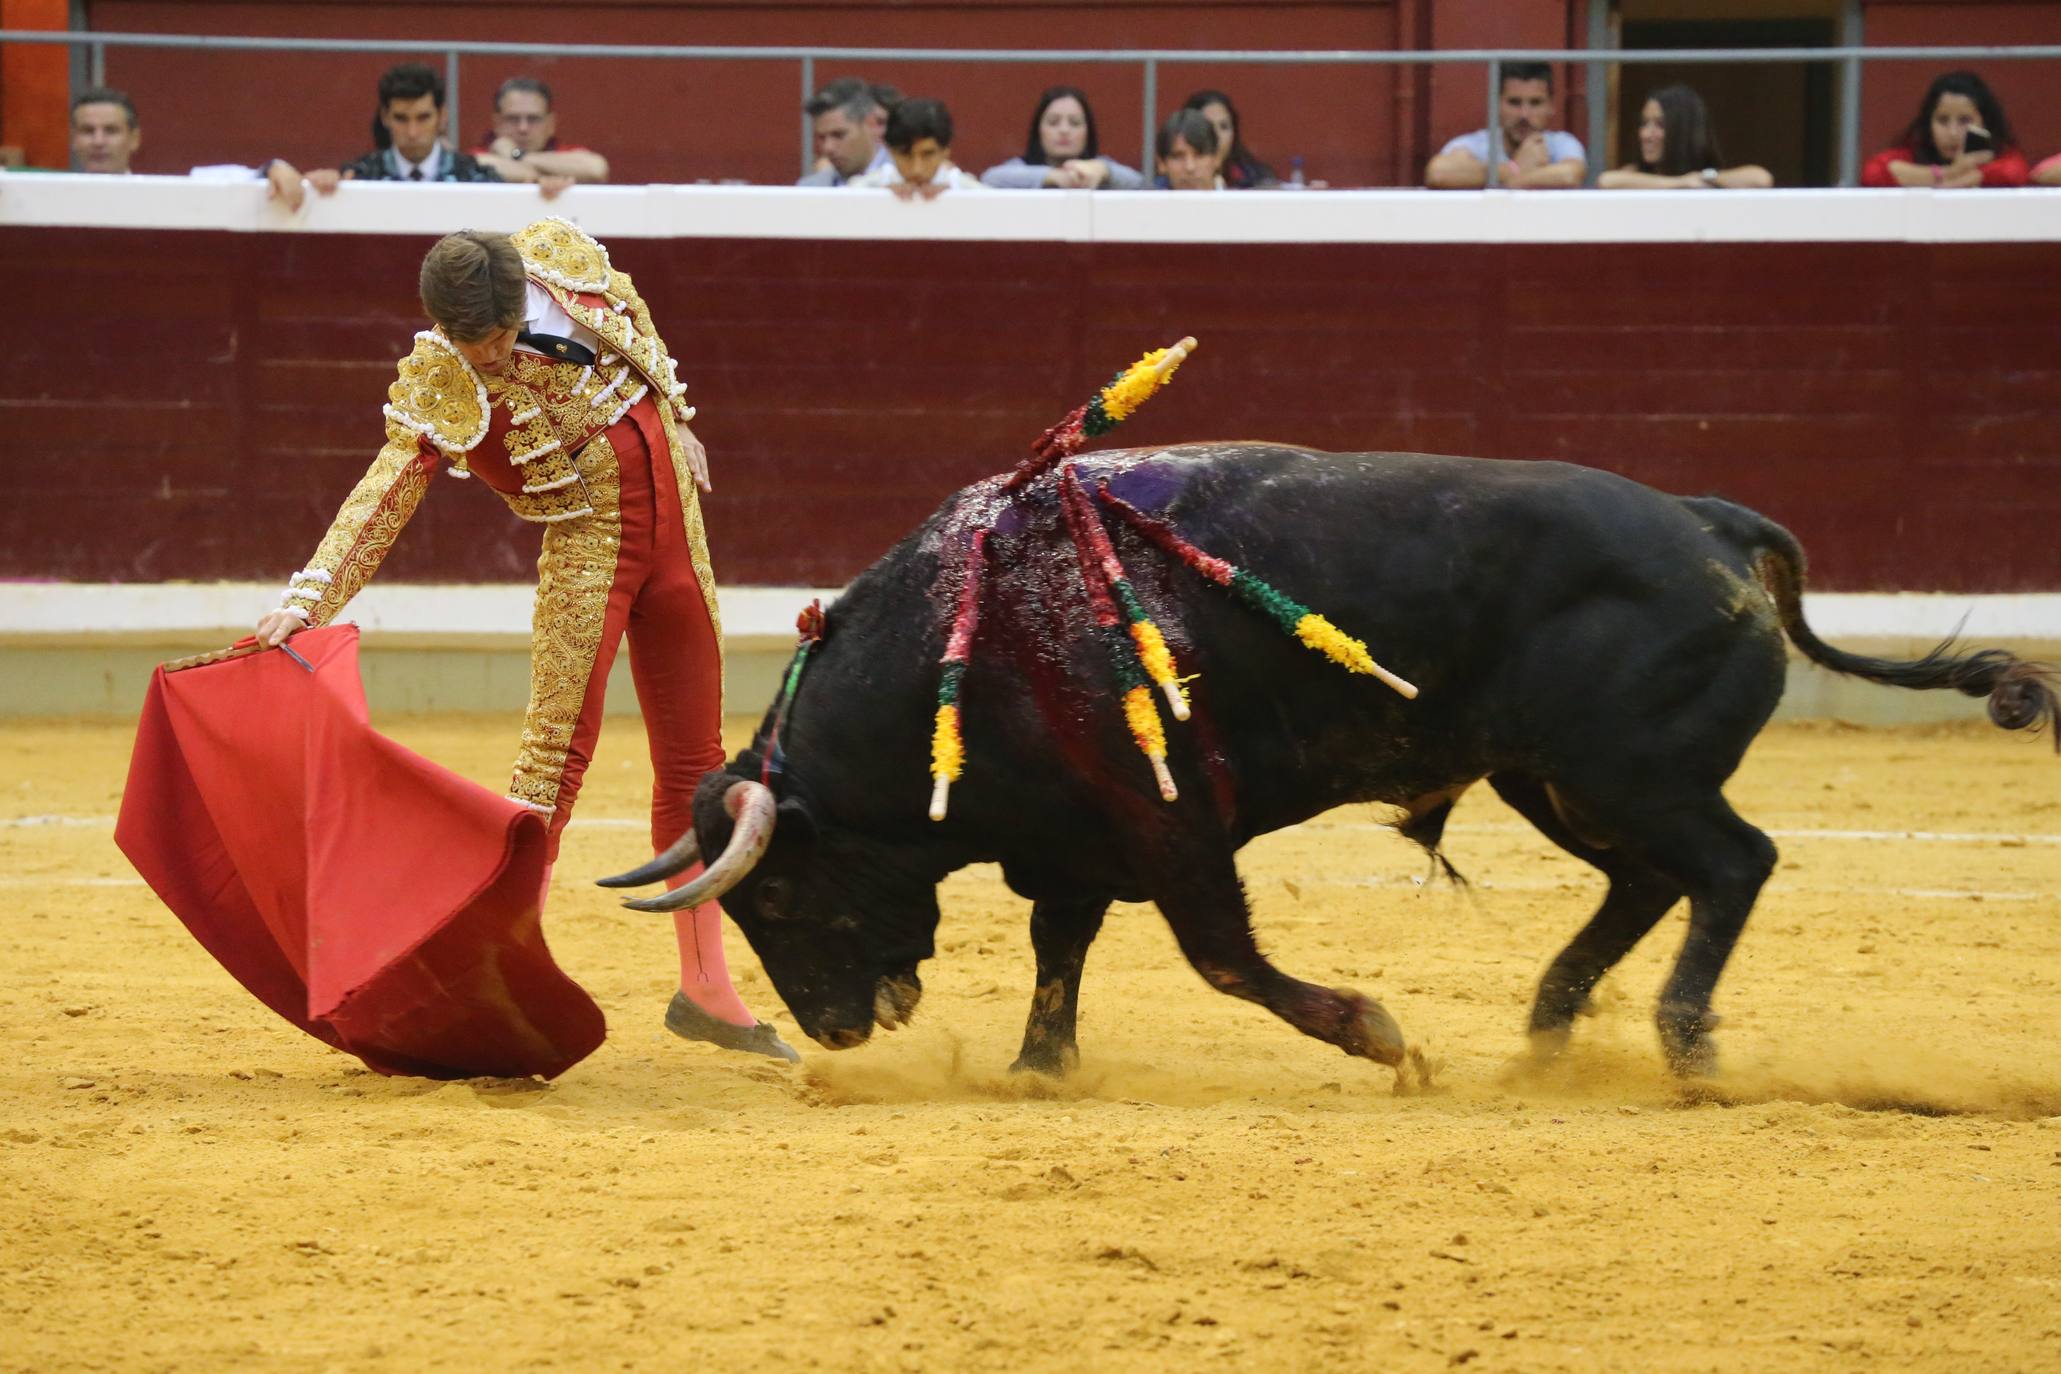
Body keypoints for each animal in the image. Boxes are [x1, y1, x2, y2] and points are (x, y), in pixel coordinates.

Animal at [597, 447, 2061, 1079]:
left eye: (782, 893)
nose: (834, 1031)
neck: (973, 635)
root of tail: (1711, 524)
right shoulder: (1077, 837)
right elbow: (1061, 951)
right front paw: (1037, 1067)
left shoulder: (1174, 827)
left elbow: (1220, 957)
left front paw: (1377, 1034)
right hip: (1552, 780)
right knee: (1653, 881)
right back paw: (1548, 1029)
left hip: (1626, 772)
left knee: (1731, 862)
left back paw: (1681, 1040)